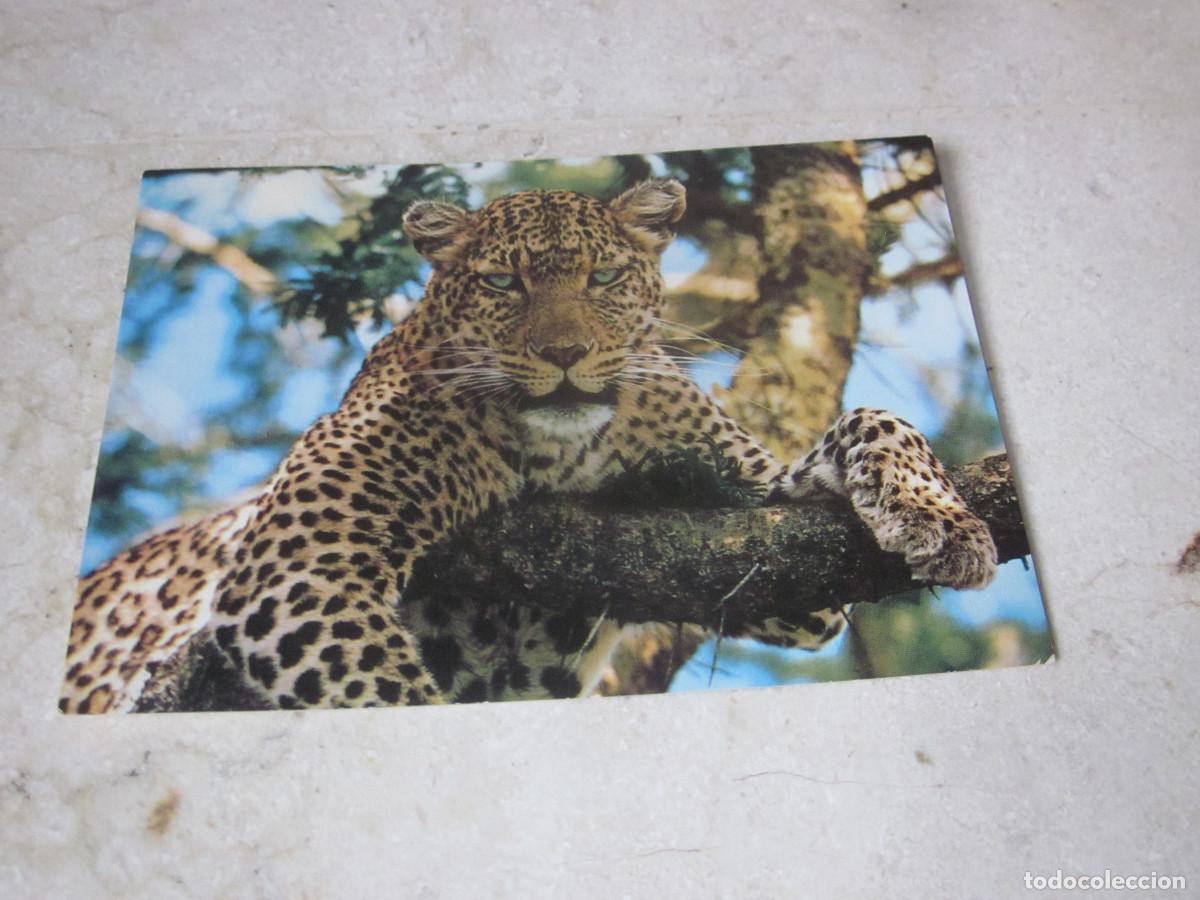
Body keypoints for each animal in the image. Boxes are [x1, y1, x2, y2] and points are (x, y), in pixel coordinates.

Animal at [59, 179, 998, 713]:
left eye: (605, 278)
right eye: (503, 282)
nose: (564, 354)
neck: (562, 454)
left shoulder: (771, 548)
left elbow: (874, 421)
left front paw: (941, 517)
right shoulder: (299, 563)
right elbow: (393, 698)